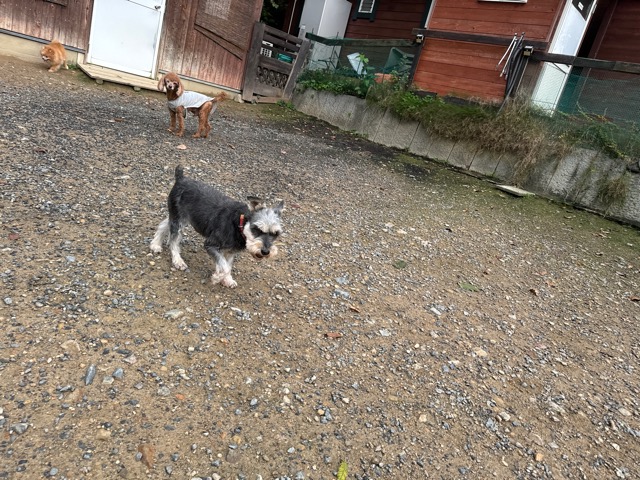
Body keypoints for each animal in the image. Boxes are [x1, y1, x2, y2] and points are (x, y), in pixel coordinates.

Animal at [150, 166, 284, 288]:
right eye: (256, 229)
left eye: (276, 234)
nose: (265, 251)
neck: (238, 224)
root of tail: (181, 178)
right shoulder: (211, 244)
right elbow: (224, 267)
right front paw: (217, 277)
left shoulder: (230, 252)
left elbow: (227, 265)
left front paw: (228, 280)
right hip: (179, 220)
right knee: (173, 240)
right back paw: (178, 260)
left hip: (177, 217)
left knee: (164, 225)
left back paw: (155, 245)